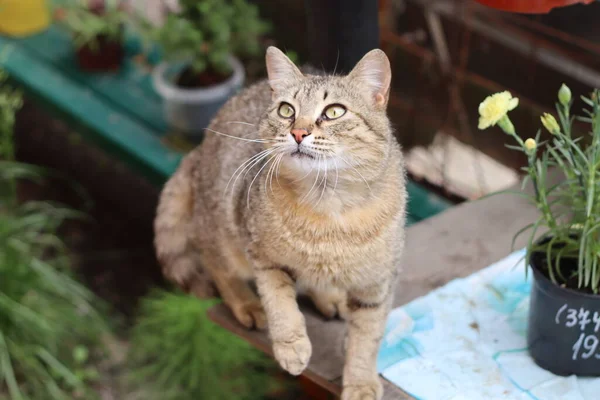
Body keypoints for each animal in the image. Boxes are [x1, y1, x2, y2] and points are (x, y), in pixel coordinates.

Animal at [155, 47, 408, 400]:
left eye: (334, 112)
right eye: (287, 110)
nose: (298, 132)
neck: (328, 207)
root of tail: (199, 150)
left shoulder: (378, 283)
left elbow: (367, 338)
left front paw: (360, 382)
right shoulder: (264, 257)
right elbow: (280, 305)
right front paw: (291, 346)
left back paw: (329, 297)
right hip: (222, 233)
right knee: (217, 266)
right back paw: (247, 304)